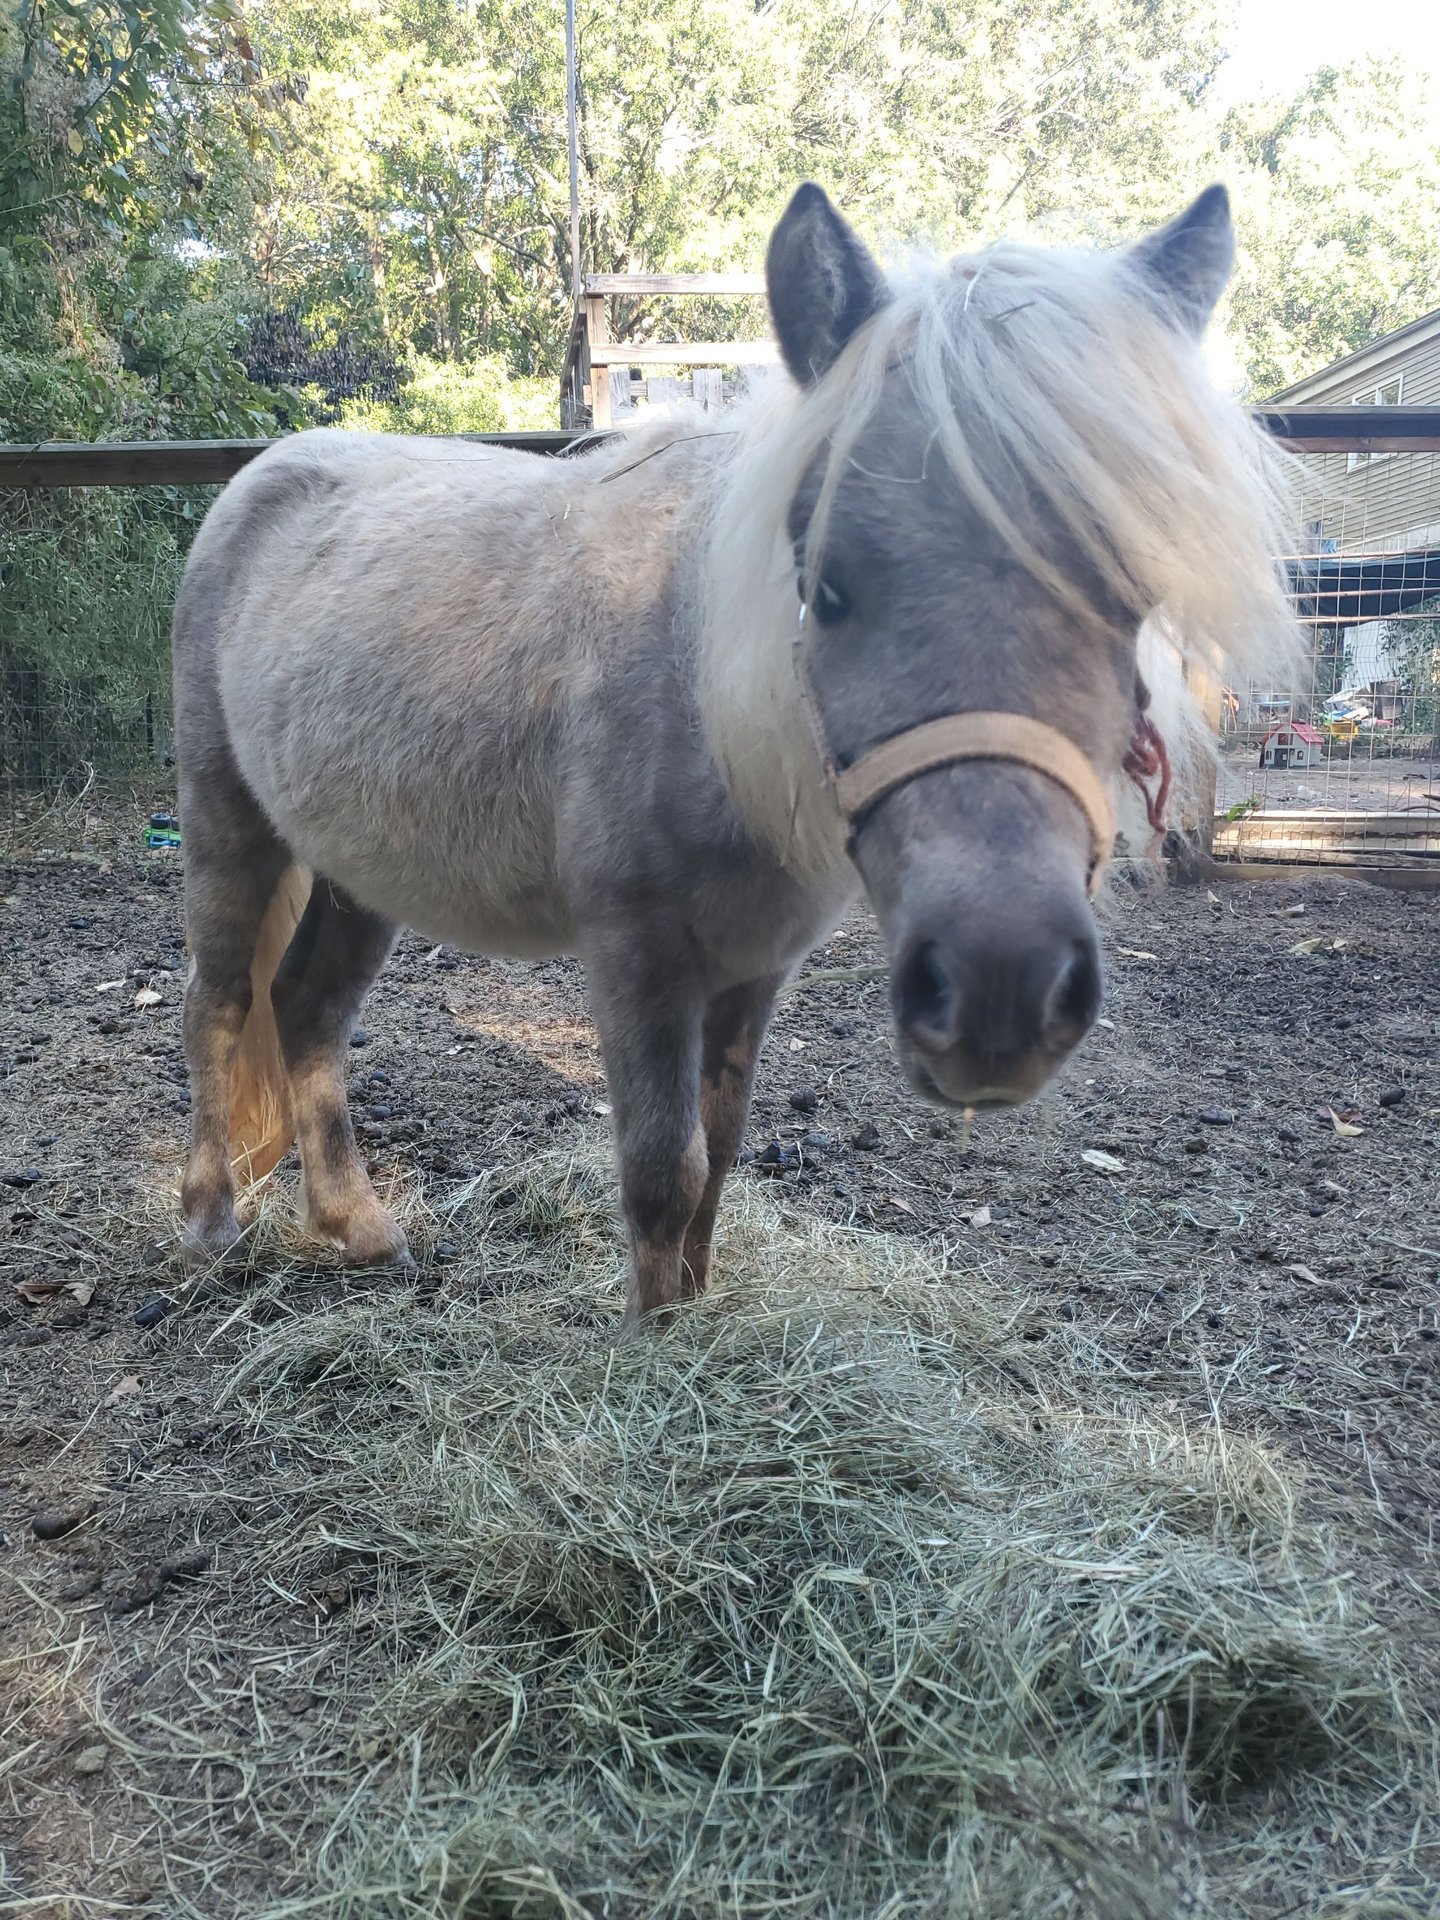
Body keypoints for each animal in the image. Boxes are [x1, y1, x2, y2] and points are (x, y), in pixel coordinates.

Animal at [172, 181, 1296, 1321]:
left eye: (1133, 594)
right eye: (825, 584)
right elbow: (660, 1175)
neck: (701, 692)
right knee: (219, 1004)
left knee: (306, 1011)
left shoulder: (753, 970)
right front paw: (655, 1340)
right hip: (228, 825)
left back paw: (356, 1227)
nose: (1001, 992)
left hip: (361, 869)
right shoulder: (637, 961)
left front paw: (695, 1313)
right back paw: (211, 1221)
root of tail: (260, 477)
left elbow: (716, 1158)